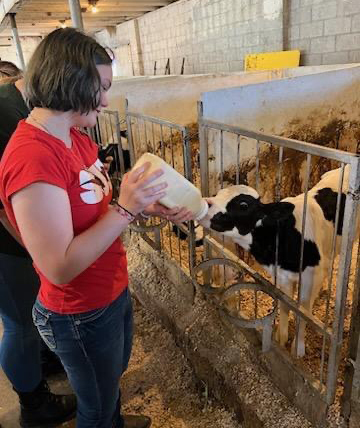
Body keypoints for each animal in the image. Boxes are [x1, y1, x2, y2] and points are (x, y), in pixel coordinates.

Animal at [198, 166, 352, 356]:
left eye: (243, 205)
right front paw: (281, 338)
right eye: (218, 193)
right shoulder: (282, 275)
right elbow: (286, 305)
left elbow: (303, 311)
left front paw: (298, 348)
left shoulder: (312, 276)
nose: (206, 202)